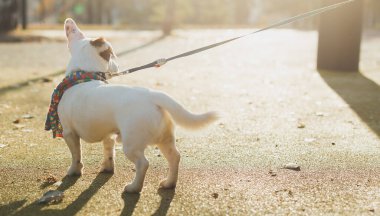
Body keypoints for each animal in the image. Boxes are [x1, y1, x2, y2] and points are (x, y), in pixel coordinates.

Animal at [56, 18, 217, 193]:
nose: (118, 66)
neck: (84, 74)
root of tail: (152, 95)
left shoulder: (69, 133)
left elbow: (76, 155)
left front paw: (74, 171)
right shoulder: (109, 134)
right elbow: (108, 151)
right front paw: (107, 168)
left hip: (131, 145)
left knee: (143, 164)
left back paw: (134, 187)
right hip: (165, 139)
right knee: (175, 157)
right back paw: (169, 183)